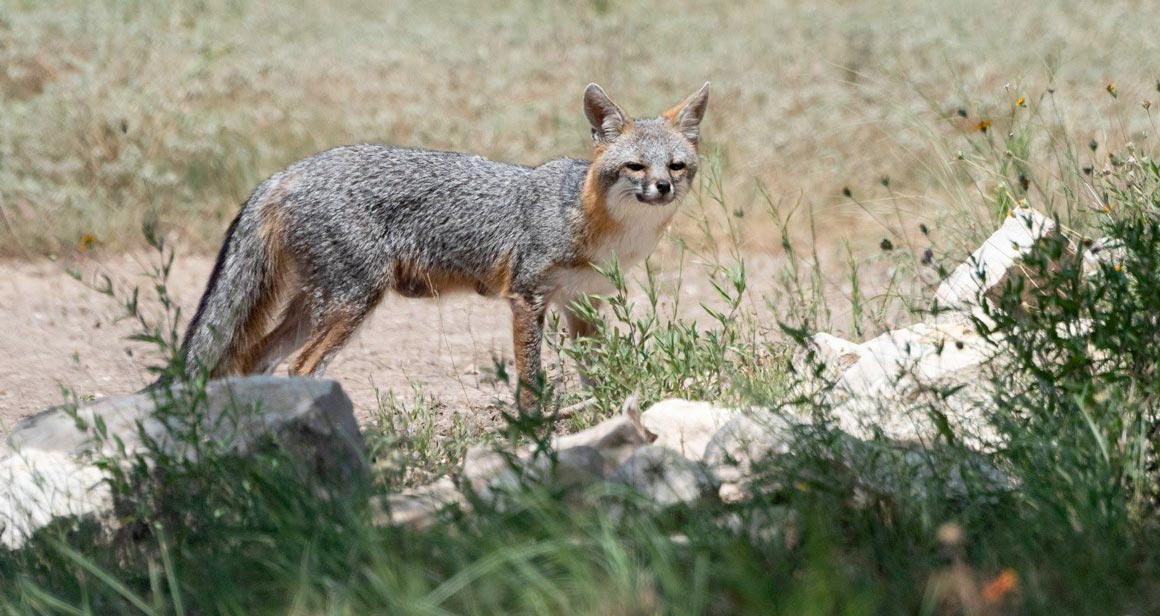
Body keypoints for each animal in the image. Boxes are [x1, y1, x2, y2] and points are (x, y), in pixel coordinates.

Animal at [178, 82, 710, 407]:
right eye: (636, 167)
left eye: (676, 166)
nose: (662, 188)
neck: (598, 225)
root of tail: (286, 172)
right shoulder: (526, 297)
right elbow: (531, 378)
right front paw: (532, 427)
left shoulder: (582, 306)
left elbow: (598, 371)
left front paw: (606, 411)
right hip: (351, 303)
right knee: (299, 367)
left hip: (314, 308)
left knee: (252, 360)